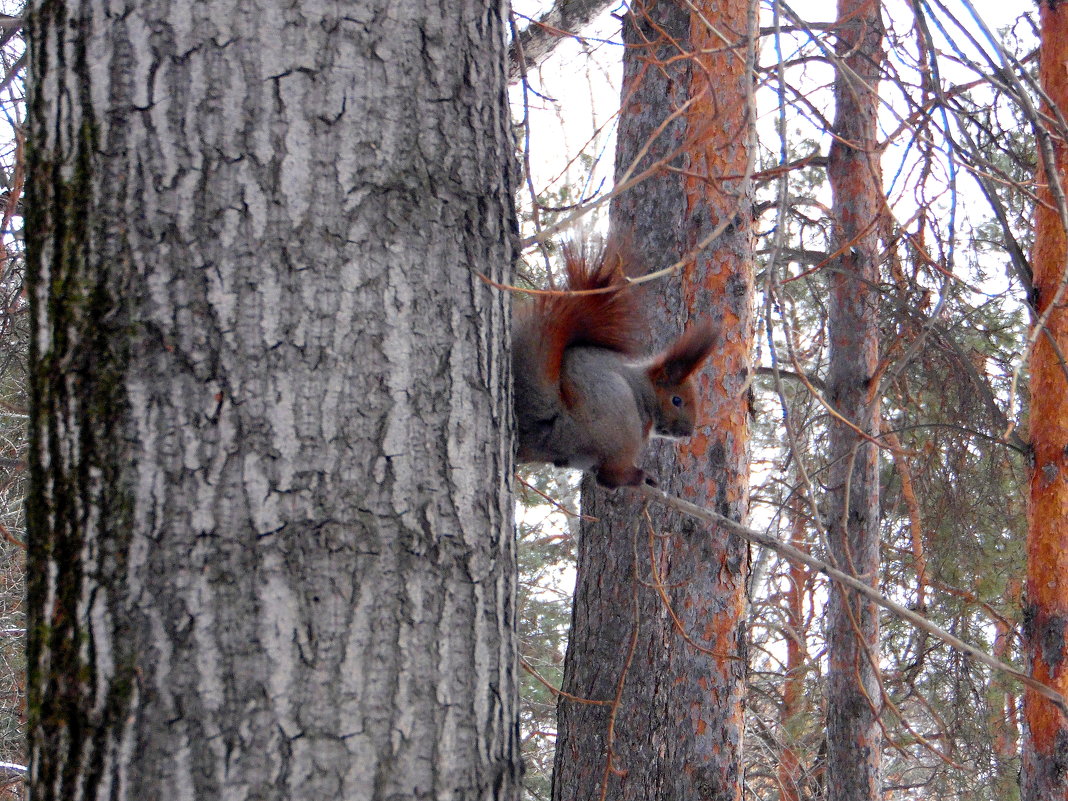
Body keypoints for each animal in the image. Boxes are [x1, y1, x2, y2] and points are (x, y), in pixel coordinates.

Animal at [510, 241, 717, 487]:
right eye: (677, 400)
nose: (687, 433)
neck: (645, 386)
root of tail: (557, 424)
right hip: (622, 425)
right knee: (610, 476)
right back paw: (635, 476)